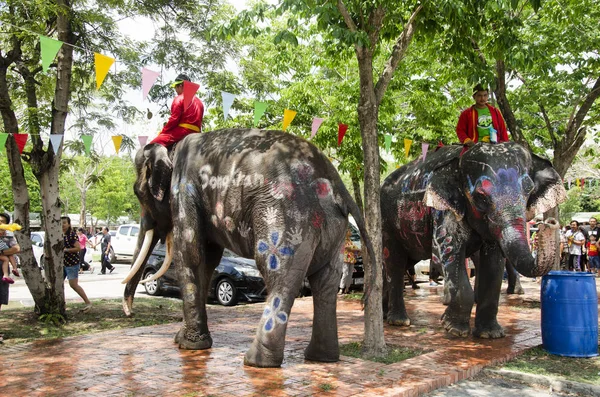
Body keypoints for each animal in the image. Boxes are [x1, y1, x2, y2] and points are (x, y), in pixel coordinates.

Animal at [382, 142, 564, 338]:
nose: (550, 223)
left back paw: (385, 315)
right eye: (481, 196)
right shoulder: (442, 210)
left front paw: (490, 334)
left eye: (529, 190)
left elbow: (493, 264)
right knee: (395, 263)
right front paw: (454, 329)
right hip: (387, 223)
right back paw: (399, 321)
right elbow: (445, 255)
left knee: (397, 265)